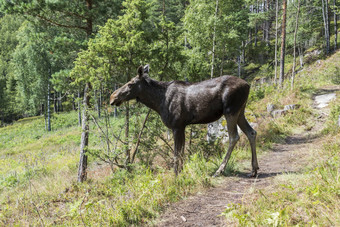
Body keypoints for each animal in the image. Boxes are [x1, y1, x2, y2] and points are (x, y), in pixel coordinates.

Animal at [110, 64, 258, 176]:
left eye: (130, 84)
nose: (113, 97)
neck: (158, 102)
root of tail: (248, 85)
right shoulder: (182, 126)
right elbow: (181, 152)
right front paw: (181, 172)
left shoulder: (176, 126)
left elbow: (176, 154)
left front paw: (176, 175)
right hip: (240, 111)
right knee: (251, 132)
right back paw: (254, 169)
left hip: (230, 110)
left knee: (234, 137)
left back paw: (219, 170)